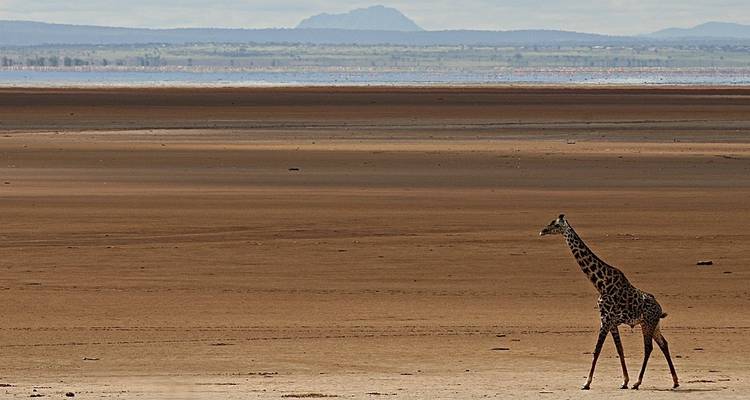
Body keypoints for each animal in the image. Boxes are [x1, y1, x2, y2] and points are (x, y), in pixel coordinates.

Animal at [539, 214, 679, 390]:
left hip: (647, 323)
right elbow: (620, 350)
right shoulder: (611, 322)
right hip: (653, 324)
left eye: (555, 224)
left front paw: (586, 383)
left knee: (649, 348)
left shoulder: (605, 320)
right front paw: (624, 381)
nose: (542, 231)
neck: (601, 283)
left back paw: (638, 382)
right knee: (664, 344)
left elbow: (597, 350)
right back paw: (674, 381)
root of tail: (659, 308)